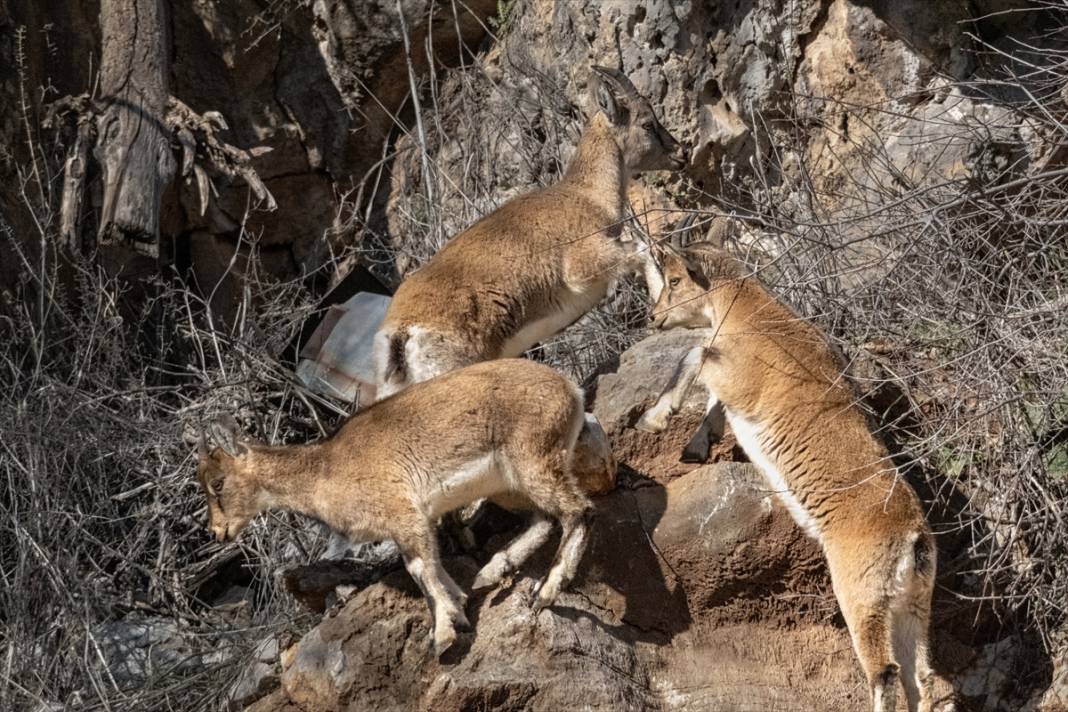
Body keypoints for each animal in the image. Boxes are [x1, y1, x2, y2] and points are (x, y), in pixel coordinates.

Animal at [193, 358, 593, 653]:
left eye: (217, 483)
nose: (218, 531)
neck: (326, 469)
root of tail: (570, 390)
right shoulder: (416, 522)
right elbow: (435, 566)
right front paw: (459, 608)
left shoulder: (402, 514)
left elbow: (419, 570)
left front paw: (441, 635)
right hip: (507, 483)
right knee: (543, 518)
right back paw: (492, 571)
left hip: (534, 460)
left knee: (577, 510)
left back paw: (543, 592)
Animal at [373, 65, 683, 401]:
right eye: (647, 123)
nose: (680, 153)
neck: (586, 195)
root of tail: (400, 336)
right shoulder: (583, 263)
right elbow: (642, 248)